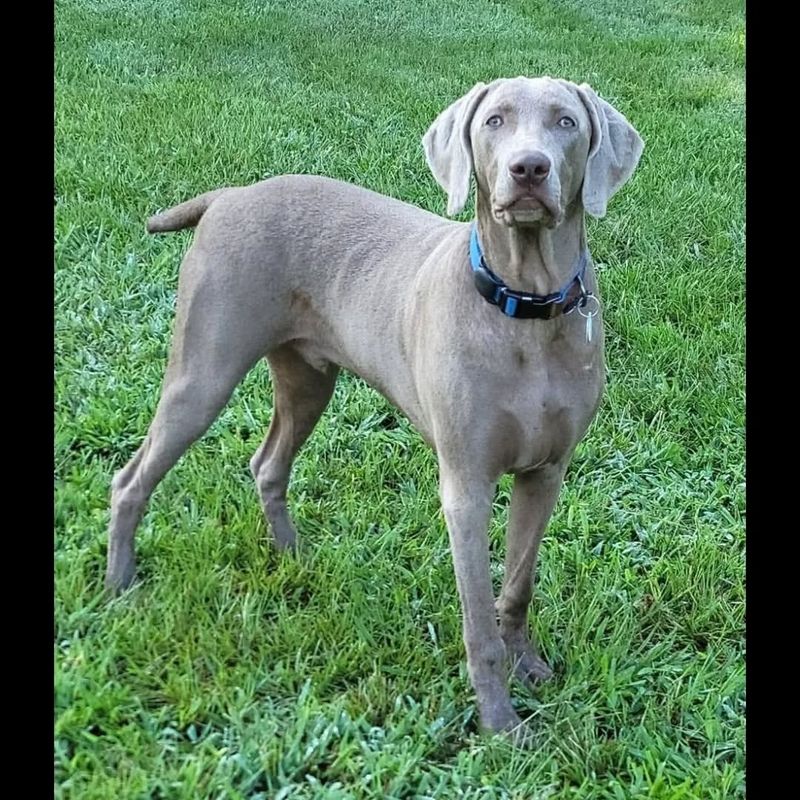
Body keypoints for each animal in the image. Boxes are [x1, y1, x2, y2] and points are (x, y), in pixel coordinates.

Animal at [104, 78, 644, 740]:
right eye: (494, 121)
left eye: (566, 122)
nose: (529, 168)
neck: (526, 306)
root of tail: (230, 195)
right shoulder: (466, 484)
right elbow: (478, 621)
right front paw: (500, 721)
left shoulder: (546, 472)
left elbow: (517, 585)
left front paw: (529, 666)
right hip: (203, 374)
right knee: (132, 477)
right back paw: (120, 585)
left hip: (307, 378)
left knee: (267, 464)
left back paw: (293, 557)